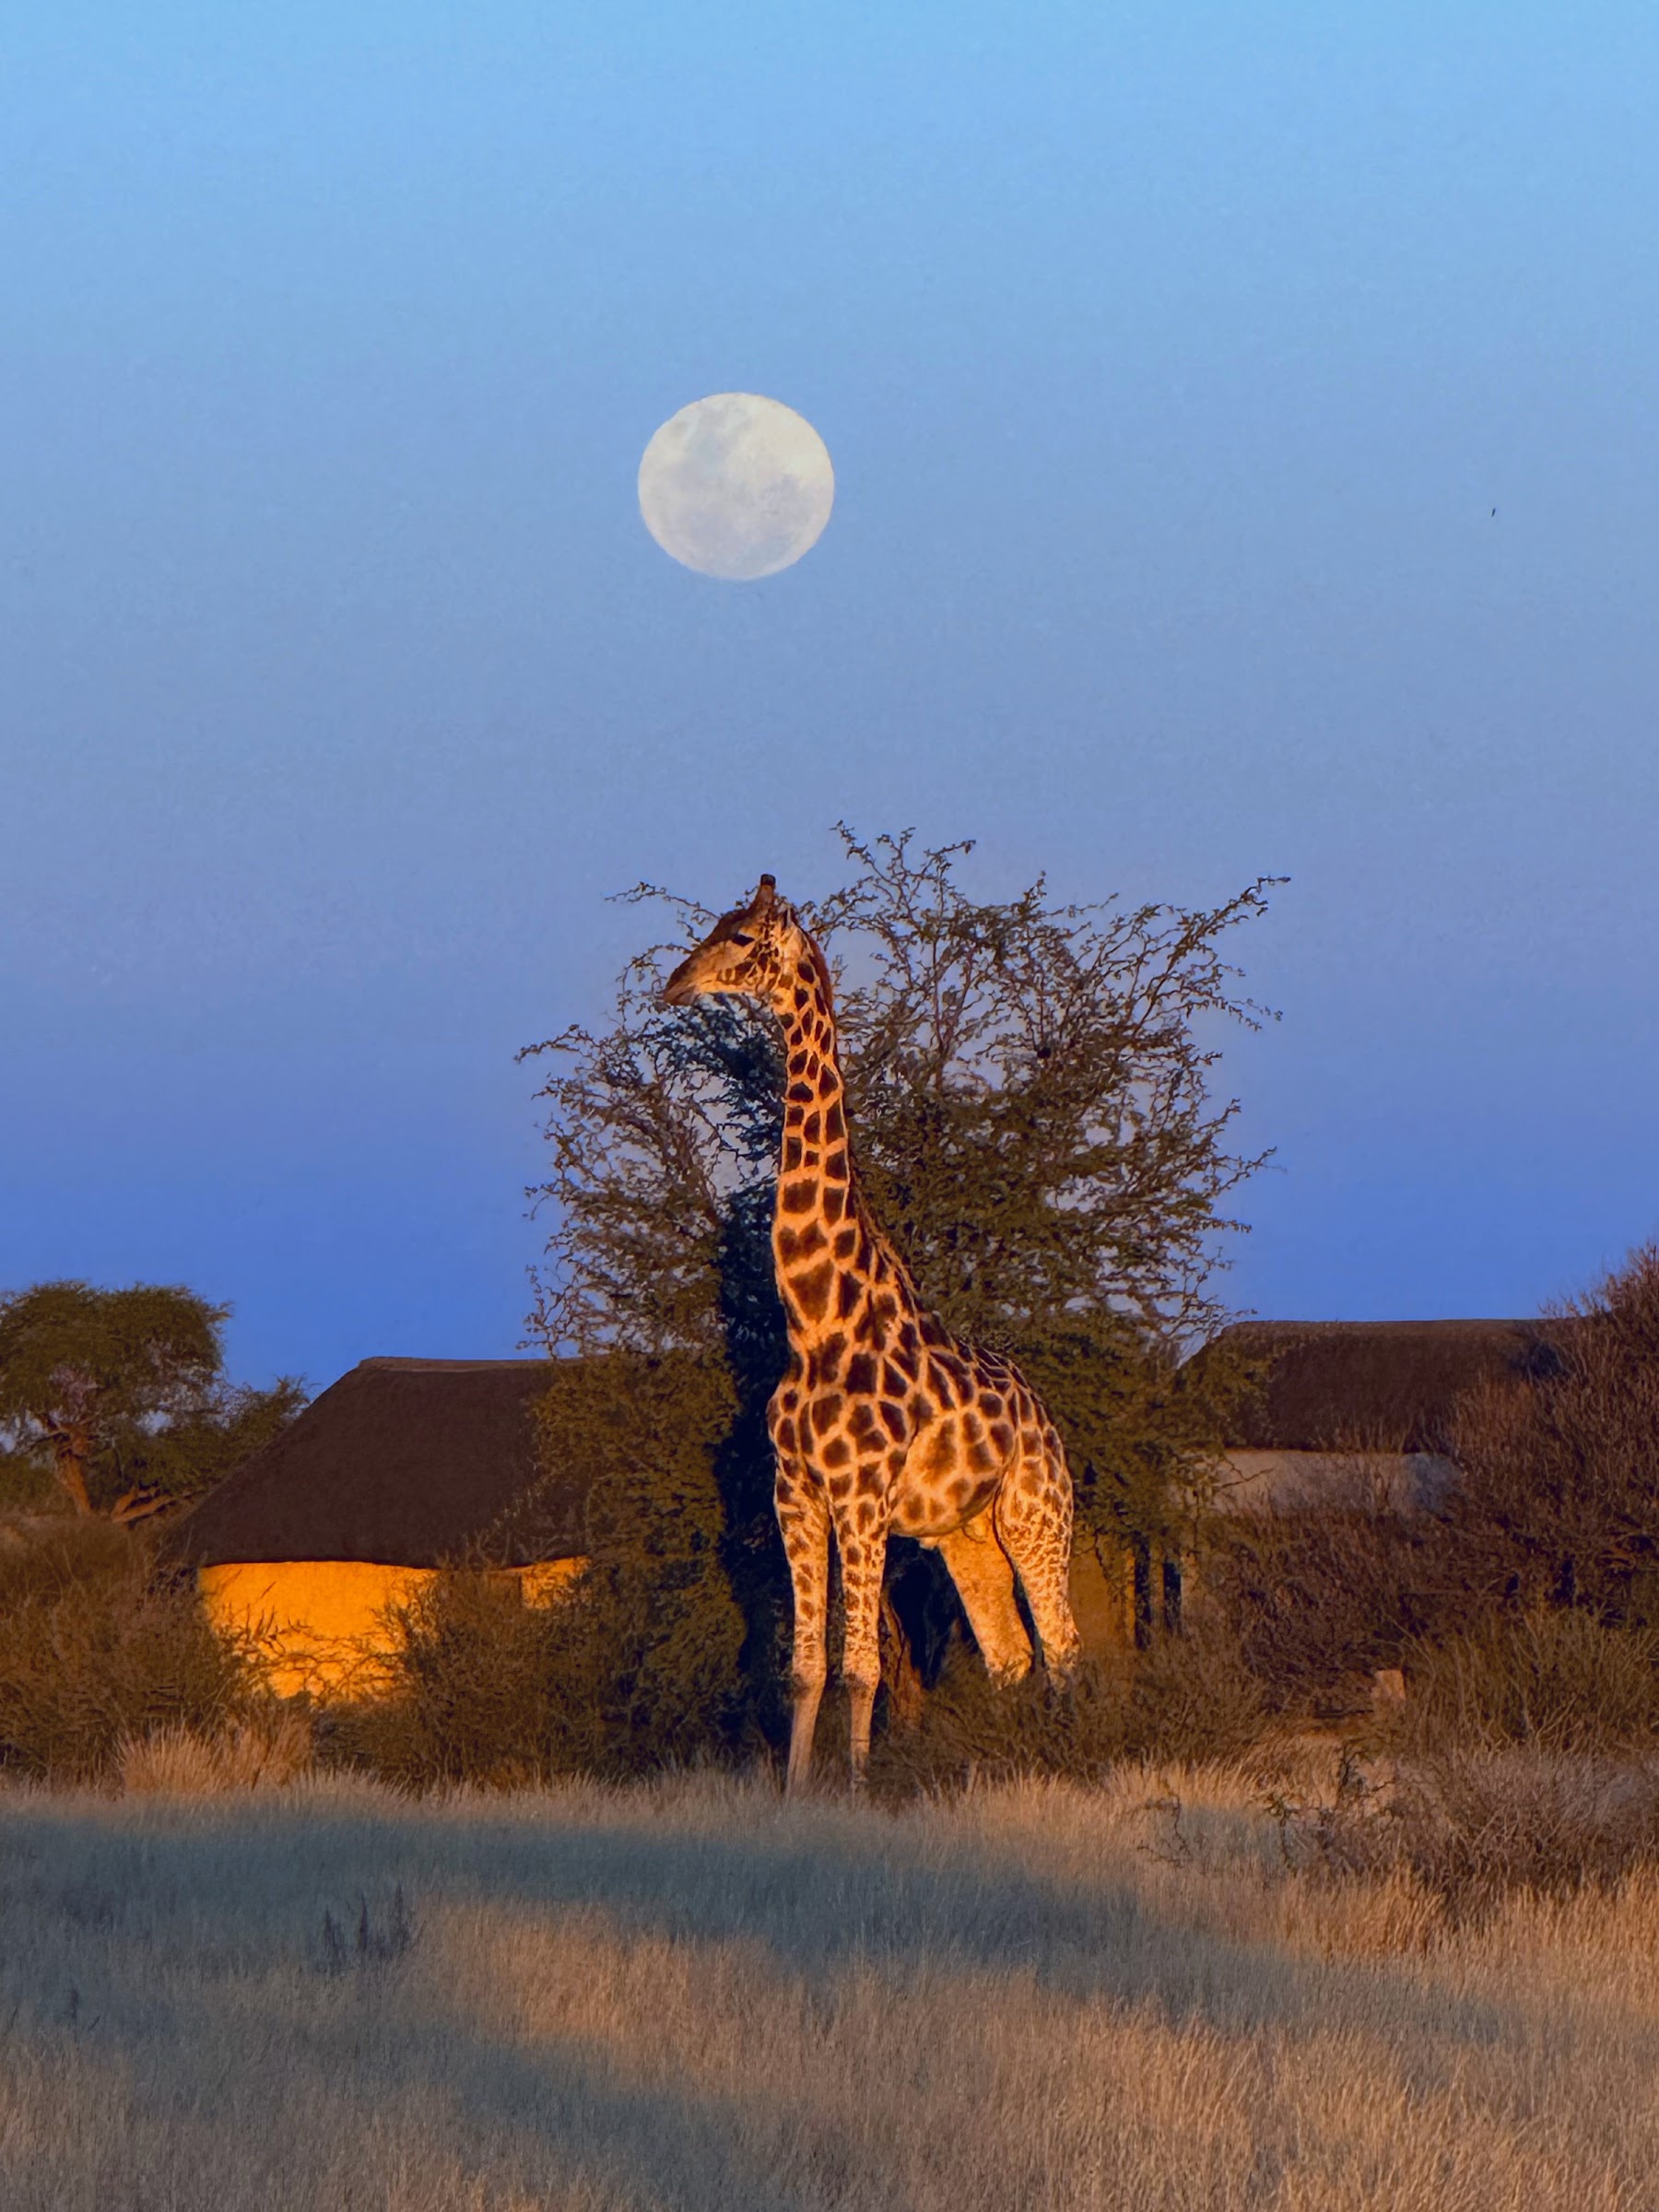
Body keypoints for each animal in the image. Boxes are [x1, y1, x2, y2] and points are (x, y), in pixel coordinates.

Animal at [662, 874, 1081, 1789]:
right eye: (713, 926)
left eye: (741, 937)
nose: (675, 983)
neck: (818, 1319)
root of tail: (1046, 1418)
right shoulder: (795, 1495)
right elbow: (805, 1668)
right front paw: (795, 1795)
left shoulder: (860, 1500)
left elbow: (862, 1669)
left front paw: (853, 1793)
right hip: (965, 1535)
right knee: (1010, 1655)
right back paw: (998, 1772)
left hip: (1038, 1515)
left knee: (1064, 1648)